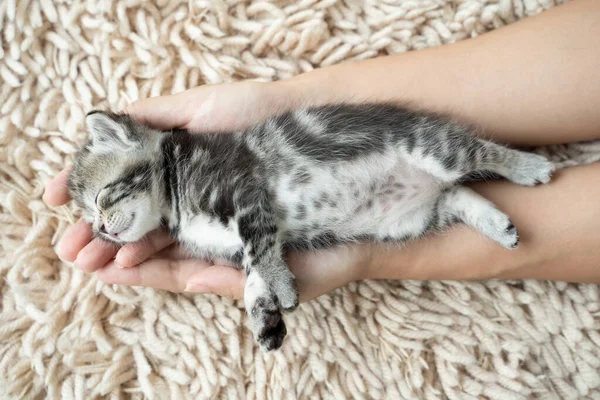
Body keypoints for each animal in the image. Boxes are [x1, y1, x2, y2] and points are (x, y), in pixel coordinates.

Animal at [69, 104, 552, 352]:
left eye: (102, 197)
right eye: (91, 220)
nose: (103, 229)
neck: (175, 188)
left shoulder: (245, 193)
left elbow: (261, 250)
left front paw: (283, 290)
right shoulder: (243, 237)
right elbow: (254, 272)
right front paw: (265, 317)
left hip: (435, 148)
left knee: (481, 151)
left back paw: (530, 166)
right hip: (410, 218)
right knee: (459, 196)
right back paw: (497, 223)